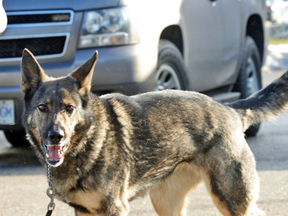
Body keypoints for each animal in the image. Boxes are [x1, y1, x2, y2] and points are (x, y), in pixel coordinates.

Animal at [20, 47, 288, 216]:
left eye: (70, 109)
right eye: (42, 107)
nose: (56, 136)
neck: (89, 140)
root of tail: (230, 109)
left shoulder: (114, 210)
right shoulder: (85, 212)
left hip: (231, 201)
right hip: (166, 203)